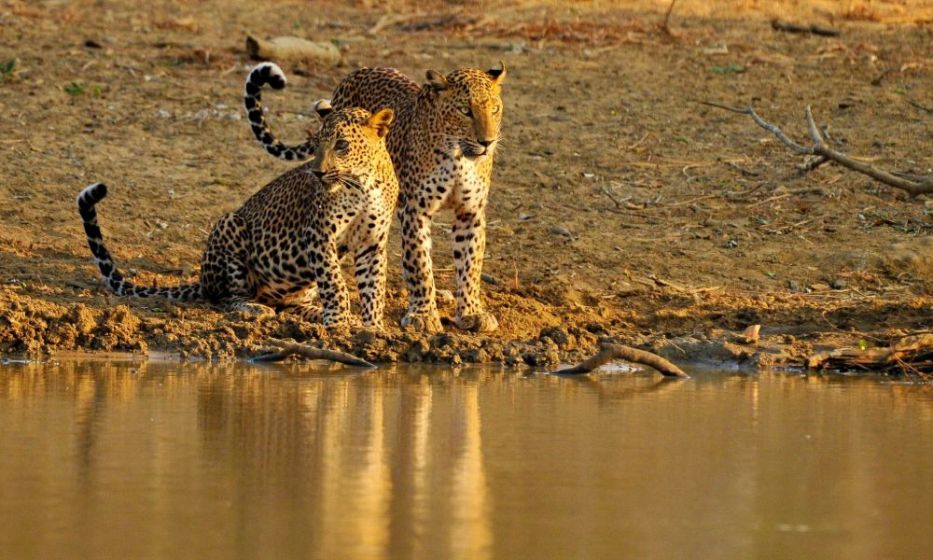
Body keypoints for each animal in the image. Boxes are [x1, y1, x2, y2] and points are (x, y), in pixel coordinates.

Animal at [79, 104, 396, 328]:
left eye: (341, 145)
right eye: (317, 143)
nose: (317, 173)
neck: (363, 184)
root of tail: (202, 280)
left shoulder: (372, 243)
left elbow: (374, 287)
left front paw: (371, 327)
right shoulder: (318, 235)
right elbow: (335, 282)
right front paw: (339, 323)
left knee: (288, 305)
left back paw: (317, 312)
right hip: (229, 226)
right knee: (227, 298)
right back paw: (255, 309)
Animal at [240, 61, 502, 332]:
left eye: (495, 109)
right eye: (465, 111)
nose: (488, 142)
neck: (460, 158)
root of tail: (357, 71)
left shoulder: (470, 211)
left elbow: (470, 264)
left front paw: (471, 312)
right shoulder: (415, 210)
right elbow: (419, 262)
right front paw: (423, 314)